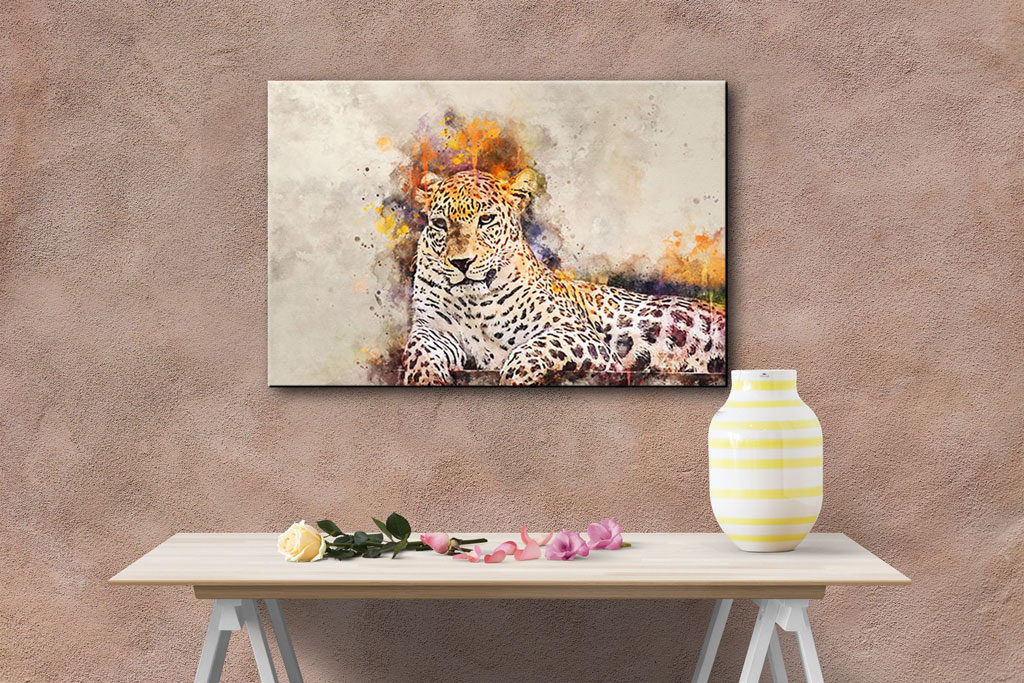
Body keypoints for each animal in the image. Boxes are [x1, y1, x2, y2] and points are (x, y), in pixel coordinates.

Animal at [401, 168, 725, 386]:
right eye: (440, 224)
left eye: (486, 220)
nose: (462, 262)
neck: (474, 301)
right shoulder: (433, 329)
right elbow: (418, 350)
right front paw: (425, 379)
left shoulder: (582, 336)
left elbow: (538, 345)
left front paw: (514, 376)